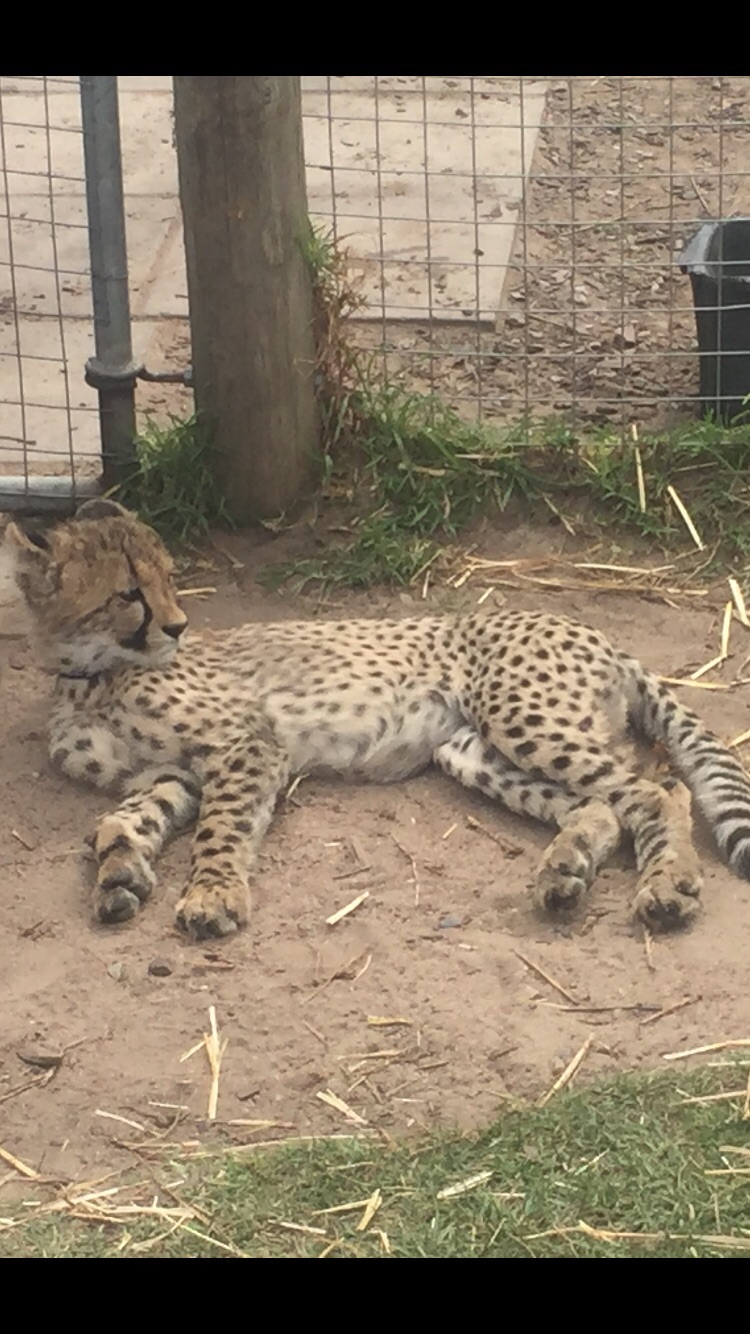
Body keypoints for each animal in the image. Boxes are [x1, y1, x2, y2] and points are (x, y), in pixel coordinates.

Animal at [6, 497, 750, 942]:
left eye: (168, 578)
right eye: (129, 593)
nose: (178, 625)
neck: (92, 674)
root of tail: (588, 629)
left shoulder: (248, 744)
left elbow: (220, 830)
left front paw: (213, 896)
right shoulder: (173, 772)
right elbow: (122, 819)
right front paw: (118, 872)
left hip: (524, 718)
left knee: (660, 789)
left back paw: (669, 886)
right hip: (468, 750)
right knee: (600, 806)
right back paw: (565, 873)